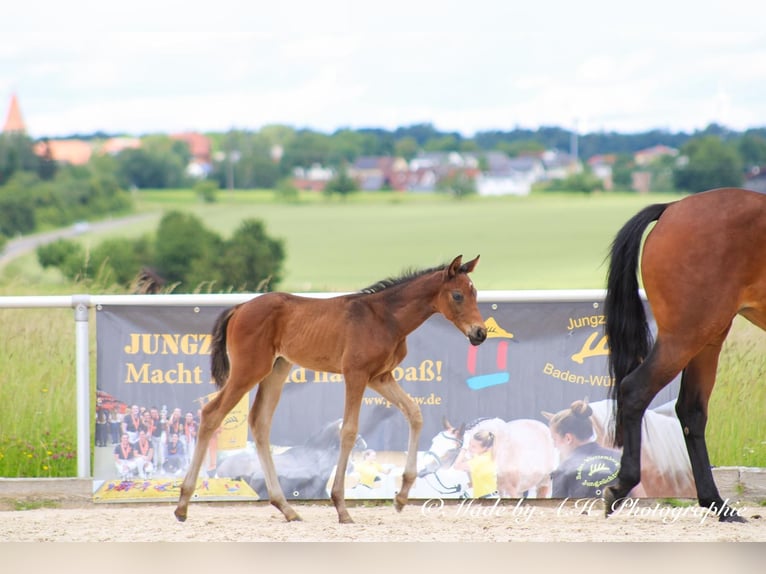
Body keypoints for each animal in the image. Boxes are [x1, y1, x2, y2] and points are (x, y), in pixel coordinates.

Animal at [175, 256, 488, 528]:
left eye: (474, 294)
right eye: (457, 295)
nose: (480, 333)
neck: (385, 317)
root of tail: (239, 307)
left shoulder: (380, 377)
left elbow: (414, 413)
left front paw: (400, 497)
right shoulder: (356, 374)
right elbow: (349, 430)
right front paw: (341, 507)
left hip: (277, 370)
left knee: (260, 422)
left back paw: (286, 508)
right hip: (248, 371)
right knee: (211, 414)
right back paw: (182, 504)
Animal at [608, 188, 760, 520]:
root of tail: (672, 208)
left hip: (708, 336)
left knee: (691, 409)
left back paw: (716, 503)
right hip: (686, 335)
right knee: (636, 389)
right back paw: (620, 486)